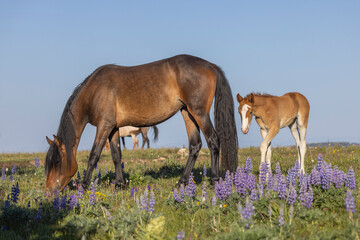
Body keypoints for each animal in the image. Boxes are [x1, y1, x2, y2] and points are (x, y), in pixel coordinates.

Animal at [45, 54, 239, 191]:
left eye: (57, 161)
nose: (49, 191)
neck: (94, 91)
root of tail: (211, 66)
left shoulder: (104, 126)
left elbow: (94, 155)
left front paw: (84, 185)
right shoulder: (113, 128)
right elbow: (116, 155)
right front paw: (120, 184)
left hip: (199, 113)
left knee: (213, 141)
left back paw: (214, 180)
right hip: (187, 112)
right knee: (195, 145)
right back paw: (182, 182)